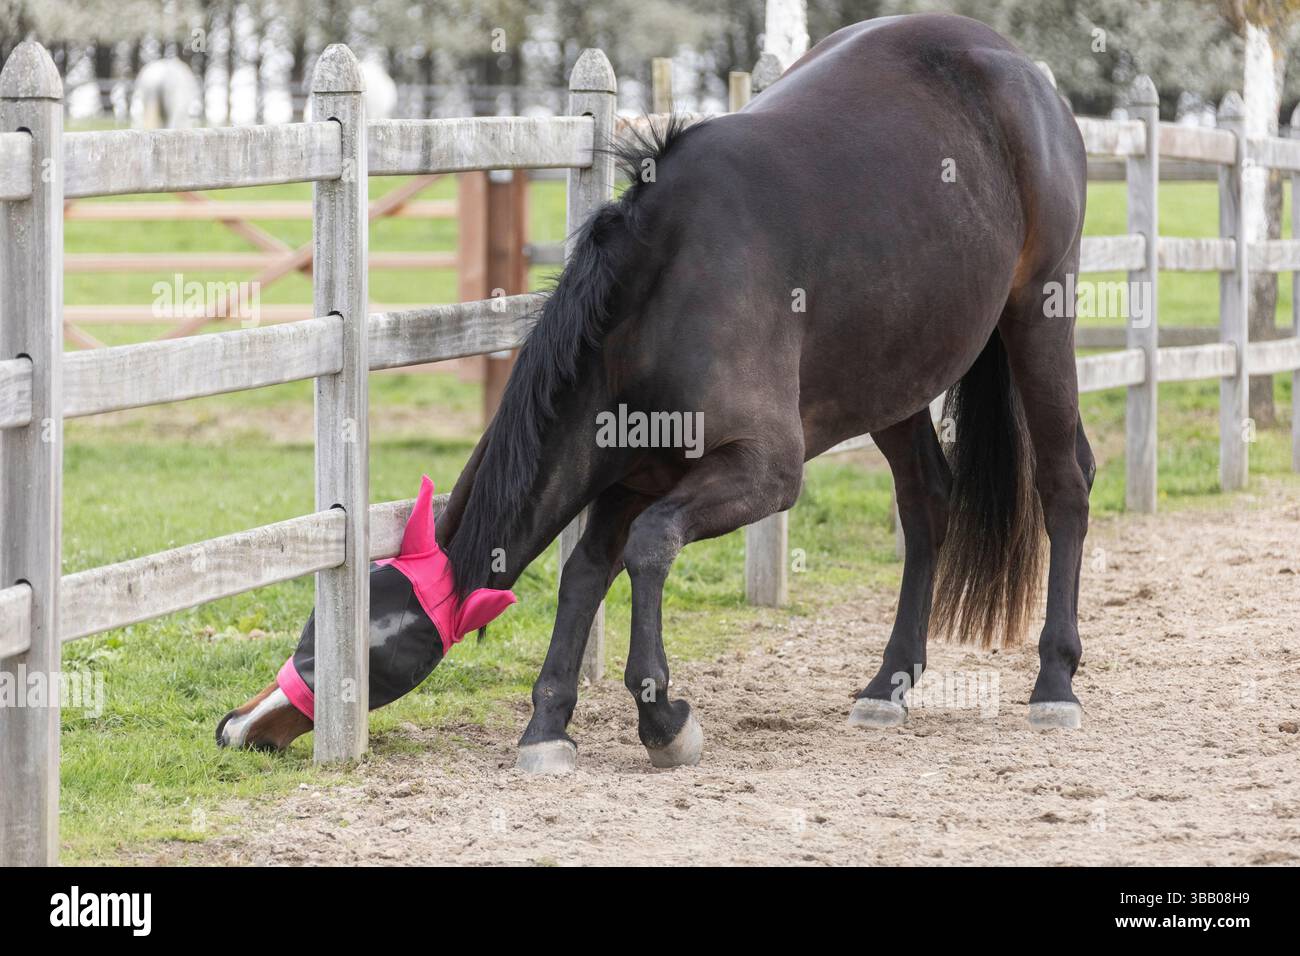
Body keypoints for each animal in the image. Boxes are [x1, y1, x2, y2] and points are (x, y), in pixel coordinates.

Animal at [219, 13, 1093, 770]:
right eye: (308, 636)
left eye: (364, 654)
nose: (239, 725)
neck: (660, 289)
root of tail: (1018, 68)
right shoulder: (630, 474)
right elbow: (586, 571)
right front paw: (548, 723)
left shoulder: (763, 472)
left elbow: (647, 548)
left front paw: (661, 716)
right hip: (897, 378)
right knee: (926, 503)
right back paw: (890, 683)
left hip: (1038, 317)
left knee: (1064, 481)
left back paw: (1054, 681)